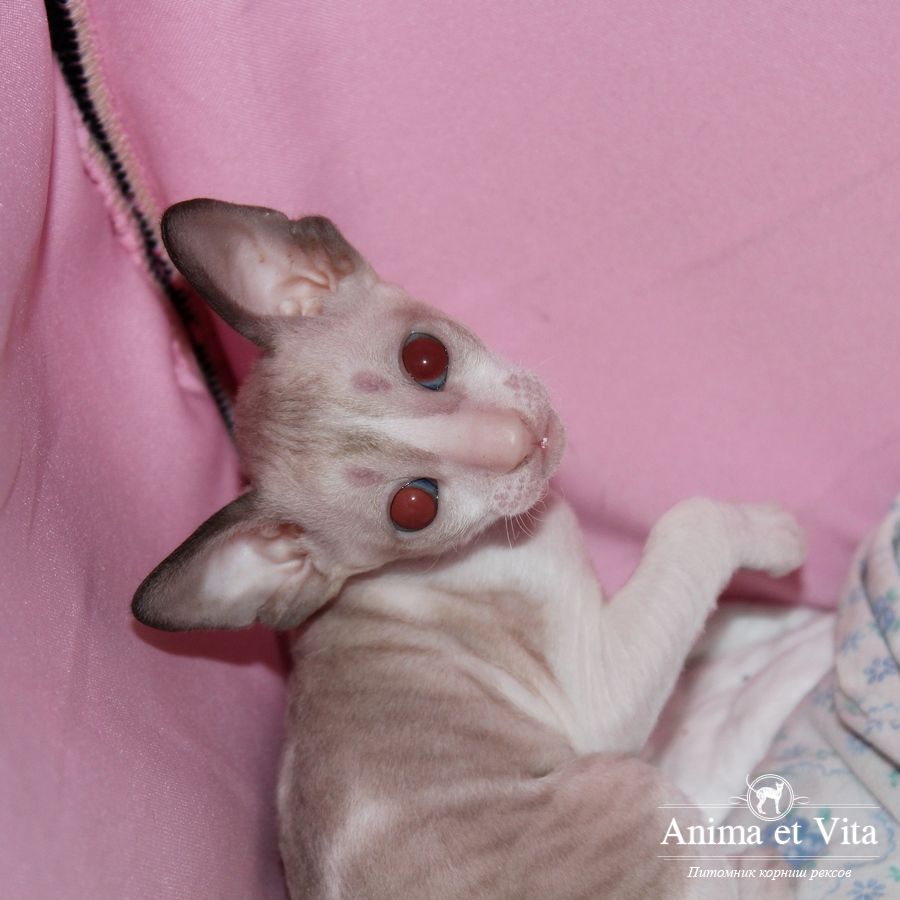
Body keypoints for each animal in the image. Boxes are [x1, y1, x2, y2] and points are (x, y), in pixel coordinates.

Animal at [133, 199, 805, 899]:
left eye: (425, 358)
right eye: (413, 507)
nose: (519, 440)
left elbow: (697, 613)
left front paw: (752, 618)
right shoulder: (601, 691)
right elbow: (691, 524)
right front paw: (775, 538)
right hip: (636, 792)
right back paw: (769, 835)